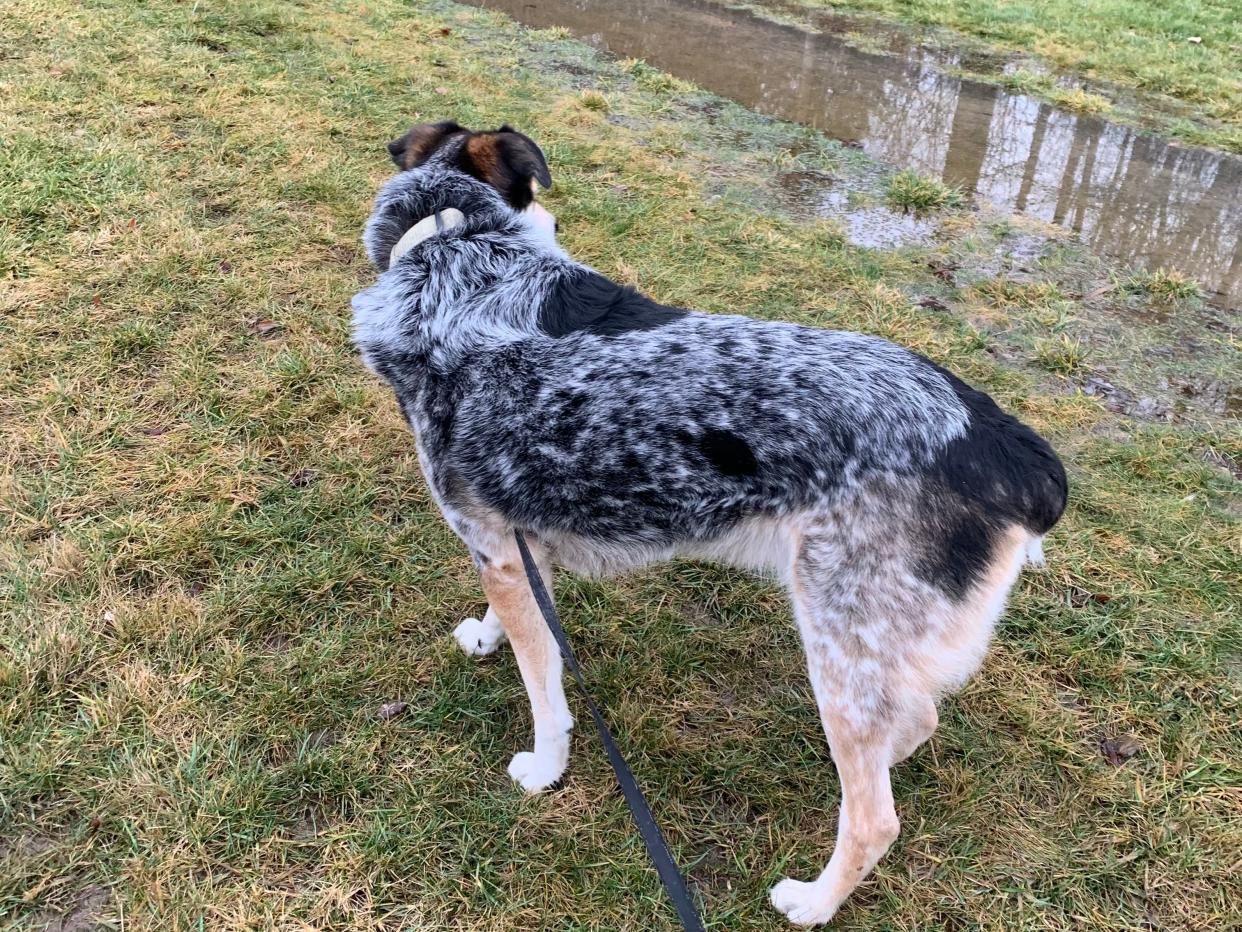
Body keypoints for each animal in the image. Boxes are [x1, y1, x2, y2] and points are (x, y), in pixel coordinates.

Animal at [350, 122, 1068, 929]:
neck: (458, 255)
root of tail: (1006, 444)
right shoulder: (515, 551)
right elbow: (518, 624)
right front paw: (485, 634)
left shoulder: (499, 551)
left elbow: (546, 693)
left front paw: (544, 768)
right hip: (868, 656)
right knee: (911, 723)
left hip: (838, 638)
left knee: (875, 818)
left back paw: (813, 903)